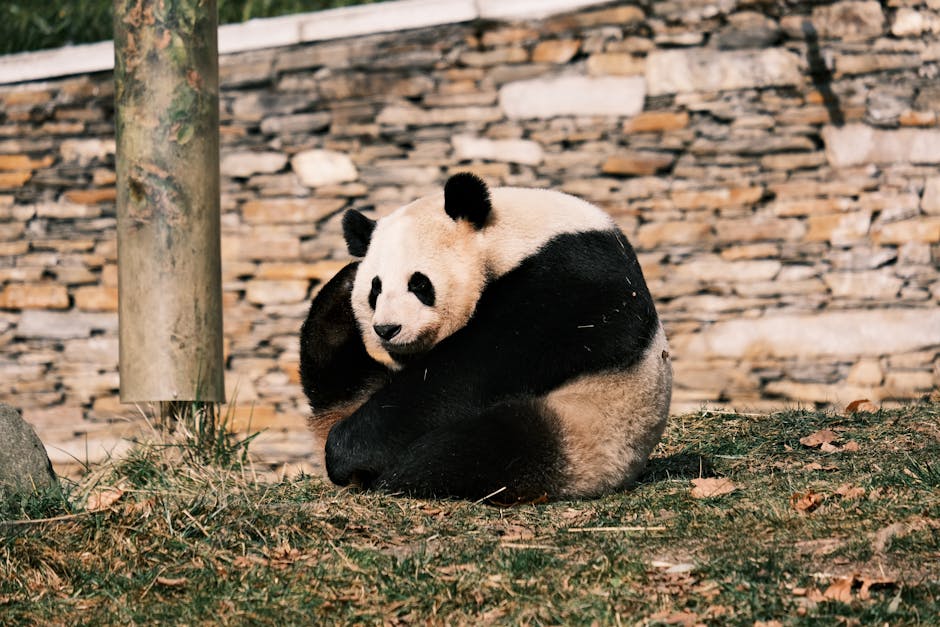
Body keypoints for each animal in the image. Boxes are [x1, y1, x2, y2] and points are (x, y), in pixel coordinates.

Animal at [299, 173, 672, 502]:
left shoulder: (571, 279)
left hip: (589, 427)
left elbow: (477, 365)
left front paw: (347, 449)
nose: (387, 329)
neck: (510, 237)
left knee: (478, 447)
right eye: (375, 290)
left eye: (419, 283)